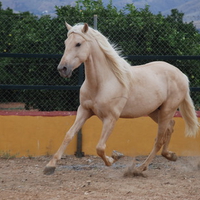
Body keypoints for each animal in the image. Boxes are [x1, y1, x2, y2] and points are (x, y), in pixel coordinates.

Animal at [43, 23, 198, 175]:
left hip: (167, 110)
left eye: (78, 44)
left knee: (159, 139)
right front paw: (50, 166)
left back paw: (140, 168)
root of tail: (181, 75)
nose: (62, 69)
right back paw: (170, 155)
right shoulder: (84, 111)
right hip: (155, 111)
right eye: (66, 43)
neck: (102, 82)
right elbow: (69, 135)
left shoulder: (111, 118)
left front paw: (115, 157)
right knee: (170, 127)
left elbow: (100, 147)